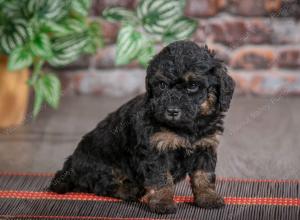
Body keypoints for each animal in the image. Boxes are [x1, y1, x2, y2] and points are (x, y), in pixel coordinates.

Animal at [49, 40, 234, 214]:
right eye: (162, 85)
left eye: (193, 86)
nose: (172, 111)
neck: (185, 128)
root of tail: (71, 164)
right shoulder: (155, 150)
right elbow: (161, 179)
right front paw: (163, 202)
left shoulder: (205, 146)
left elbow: (204, 176)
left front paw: (208, 198)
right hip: (103, 165)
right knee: (103, 185)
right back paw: (131, 190)